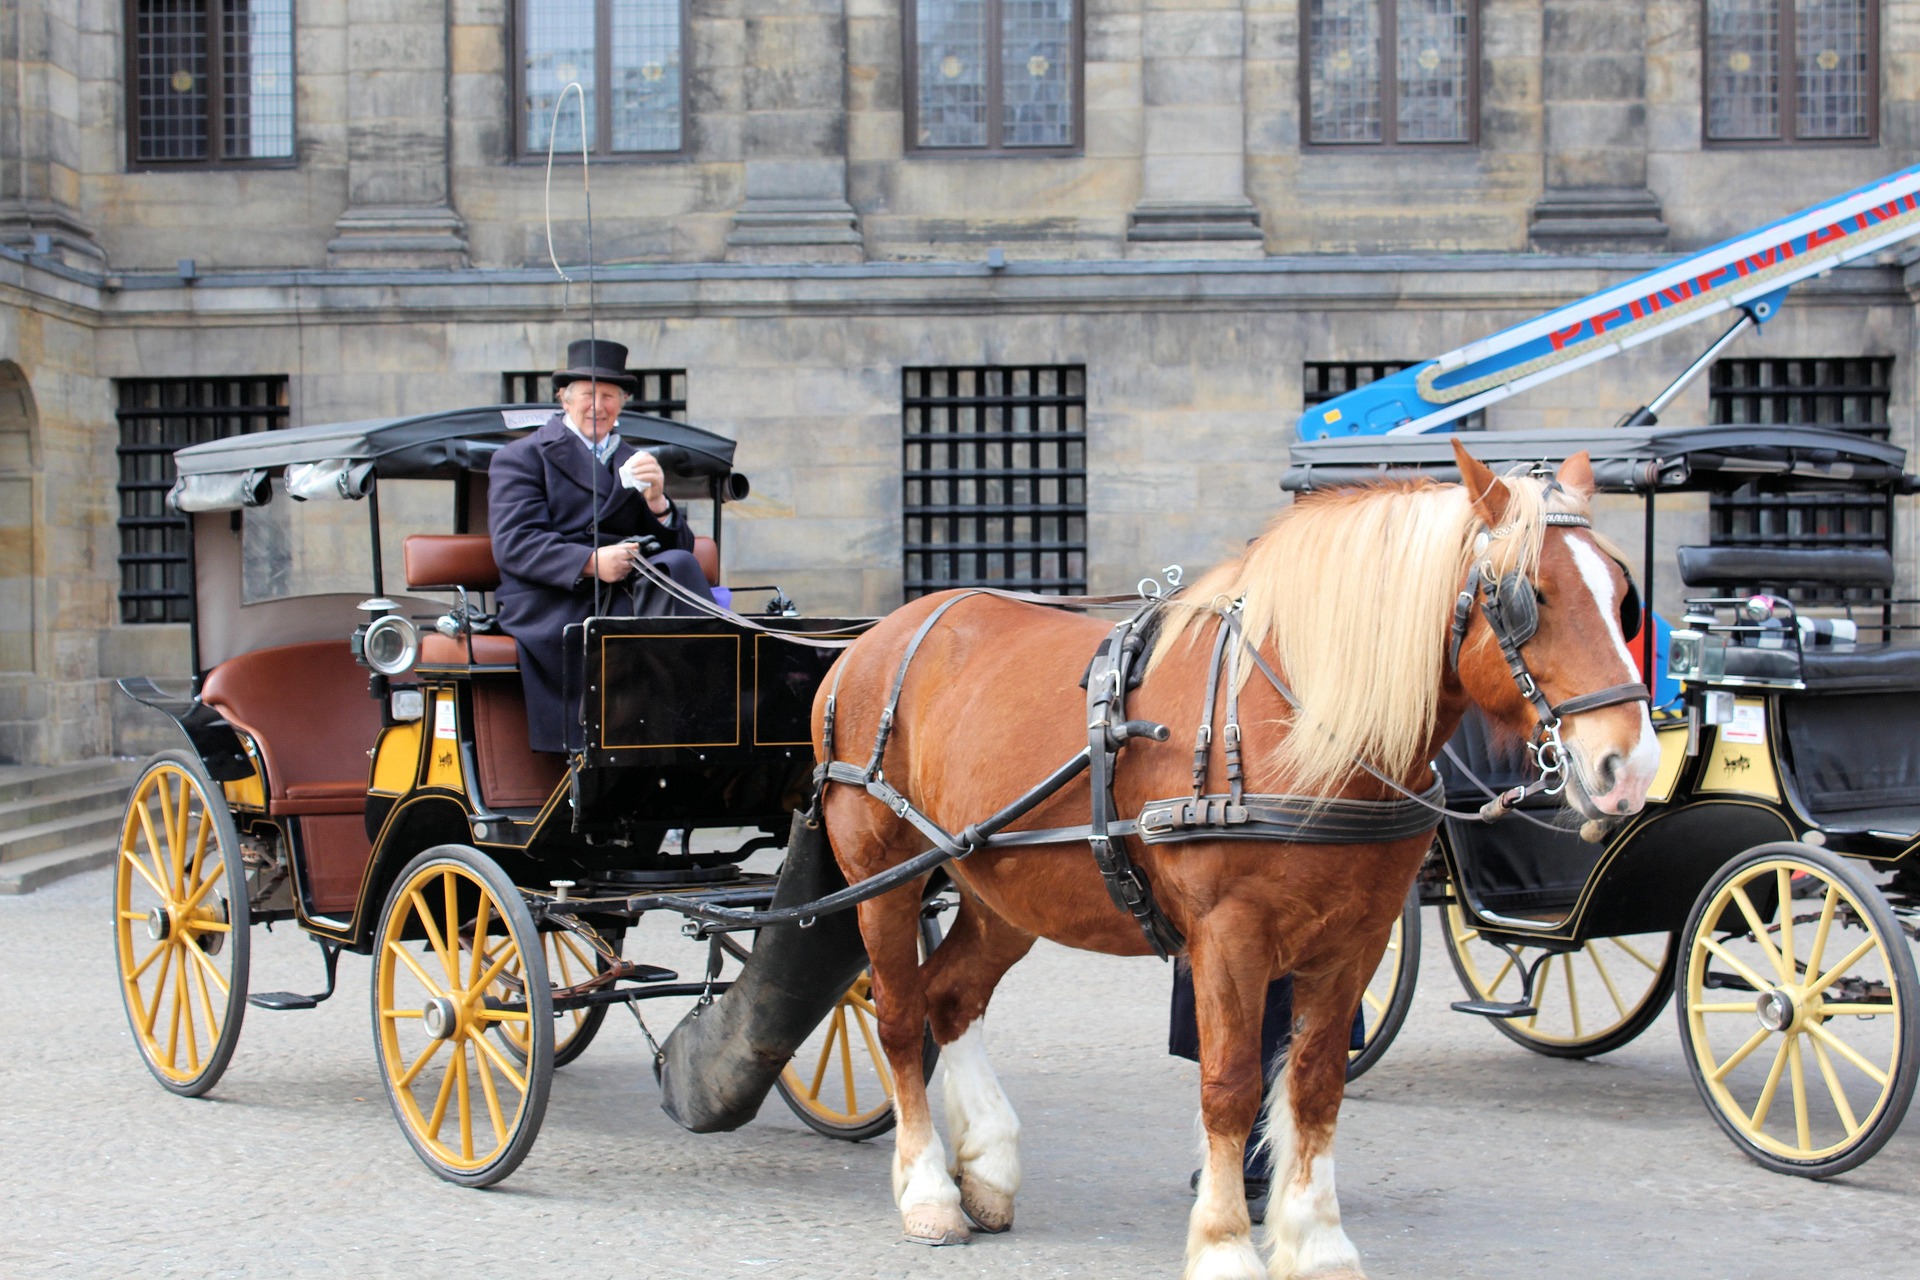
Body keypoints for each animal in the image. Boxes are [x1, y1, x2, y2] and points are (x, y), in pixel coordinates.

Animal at [810, 443, 1651, 1280]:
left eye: (1621, 598)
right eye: (1528, 597)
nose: (1630, 767)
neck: (1302, 724)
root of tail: (871, 641)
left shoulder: (1357, 938)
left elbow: (1313, 1086)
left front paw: (1317, 1241)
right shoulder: (1228, 936)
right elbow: (1231, 1086)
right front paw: (1223, 1244)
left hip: (1002, 888)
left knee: (952, 998)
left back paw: (987, 1168)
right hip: (884, 878)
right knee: (899, 1016)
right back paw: (928, 1189)